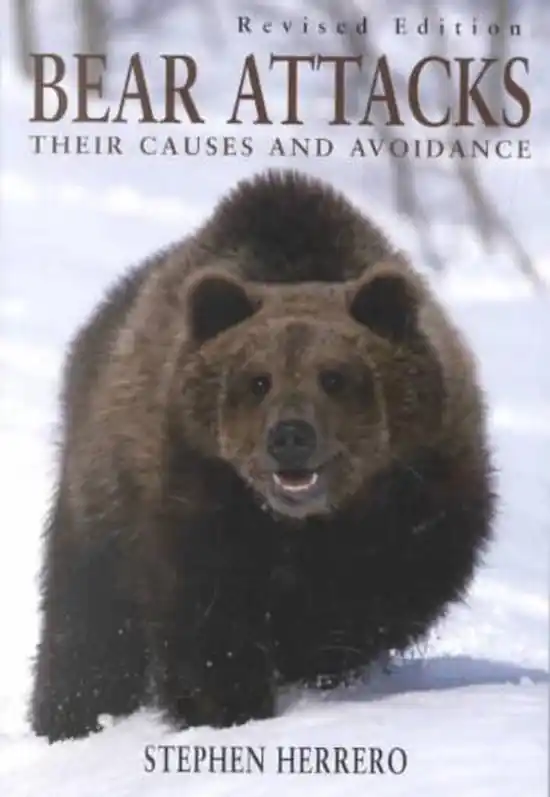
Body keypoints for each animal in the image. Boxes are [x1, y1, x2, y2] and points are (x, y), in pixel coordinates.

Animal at [30, 169, 495, 743]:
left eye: (334, 376)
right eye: (258, 380)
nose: (290, 435)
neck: (304, 526)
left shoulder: (424, 491)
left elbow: (387, 594)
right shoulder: (194, 497)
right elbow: (208, 622)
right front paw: (228, 708)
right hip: (101, 496)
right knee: (88, 628)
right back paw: (72, 719)